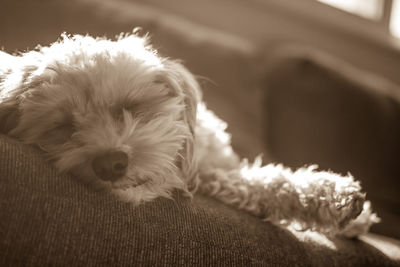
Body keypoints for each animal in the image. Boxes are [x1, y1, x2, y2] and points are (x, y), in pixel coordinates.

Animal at [0, 33, 380, 237]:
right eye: (64, 127)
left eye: (130, 107)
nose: (109, 164)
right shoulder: (212, 177)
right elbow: (262, 182)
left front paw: (348, 212)